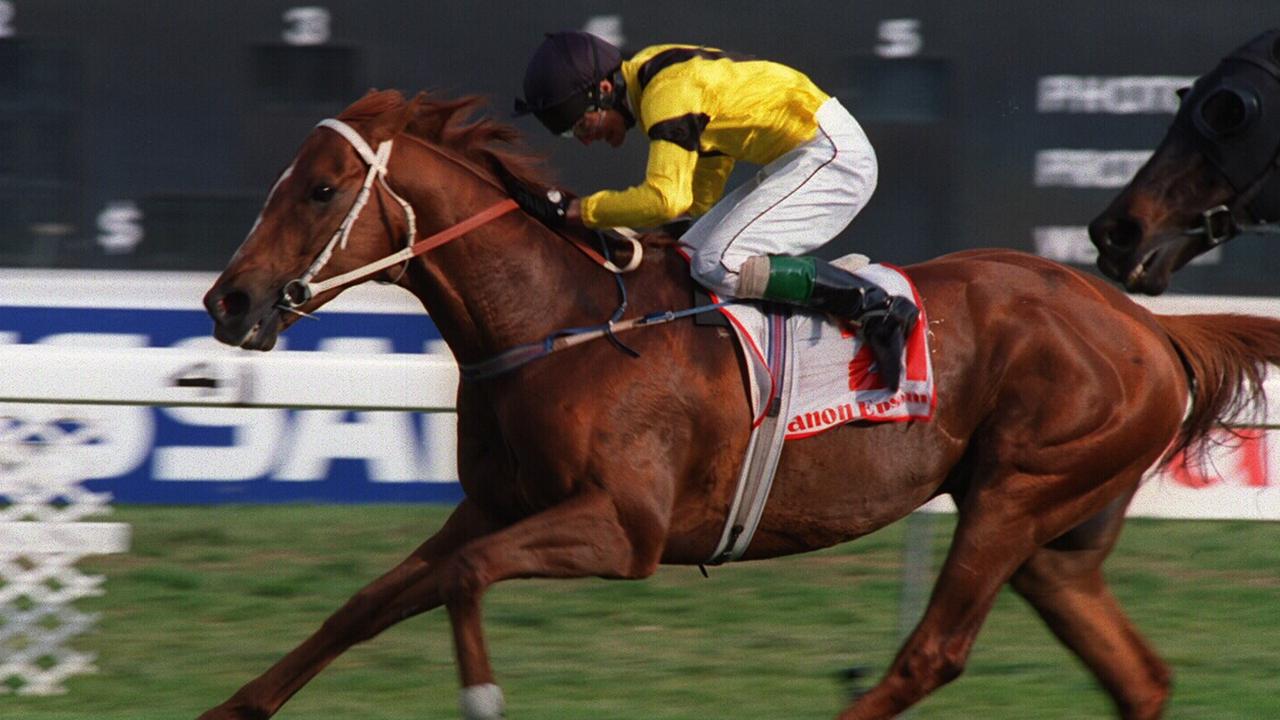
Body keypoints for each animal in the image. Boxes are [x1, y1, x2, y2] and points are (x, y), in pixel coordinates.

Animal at [204, 90, 1280, 717]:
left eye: (321, 190)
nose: (229, 301)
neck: (556, 319)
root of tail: (1146, 326)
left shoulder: (624, 530)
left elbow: (464, 580)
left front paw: (481, 698)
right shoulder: (499, 504)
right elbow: (370, 601)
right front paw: (233, 707)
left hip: (1017, 497)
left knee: (928, 656)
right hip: (1055, 541)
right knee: (1136, 678)